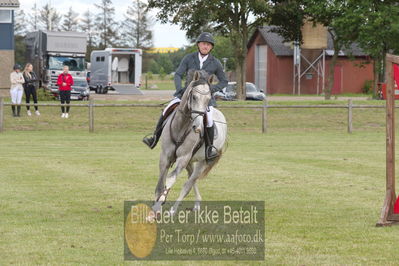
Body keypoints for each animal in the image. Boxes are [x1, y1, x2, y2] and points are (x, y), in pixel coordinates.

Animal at [150, 69, 228, 216]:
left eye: (208, 99)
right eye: (194, 97)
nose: (198, 127)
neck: (181, 126)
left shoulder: (183, 158)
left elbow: (170, 179)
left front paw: (159, 205)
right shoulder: (165, 156)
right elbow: (160, 184)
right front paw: (156, 205)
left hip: (201, 162)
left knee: (188, 184)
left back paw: (173, 210)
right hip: (190, 161)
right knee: (191, 180)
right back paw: (196, 204)